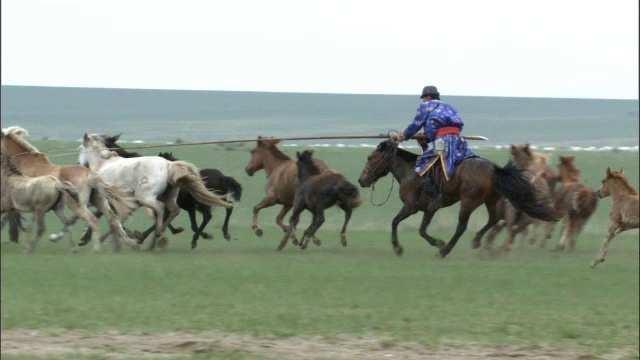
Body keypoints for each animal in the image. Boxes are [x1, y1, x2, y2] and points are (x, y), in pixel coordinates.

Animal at [0, 126, 139, 253]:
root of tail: (89, 173)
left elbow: (8, 218)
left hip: (78, 205)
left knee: (92, 220)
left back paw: (95, 248)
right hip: (99, 201)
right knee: (113, 219)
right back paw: (130, 243)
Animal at [78, 133, 232, 250]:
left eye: (80, 149)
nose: (78, 164)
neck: (104, 164)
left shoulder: (114, 199)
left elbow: (110, 218)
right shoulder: (126, 202)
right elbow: (113, 218)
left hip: (151, 198)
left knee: (167, 210)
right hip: (176, 200)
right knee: (175, 211)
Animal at [358, 139, 556, 258]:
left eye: (370, 157)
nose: (361, 180)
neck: (410, 171)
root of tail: (494, 169)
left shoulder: (412, 206)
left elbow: (399, 223)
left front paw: (400, 247)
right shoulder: (429, 208)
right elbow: (418, 228)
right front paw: (436, 243)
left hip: (468, 202)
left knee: (462, 227)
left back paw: (445, 251)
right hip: (490, 200)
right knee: (493, 219)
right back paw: (476, 242)